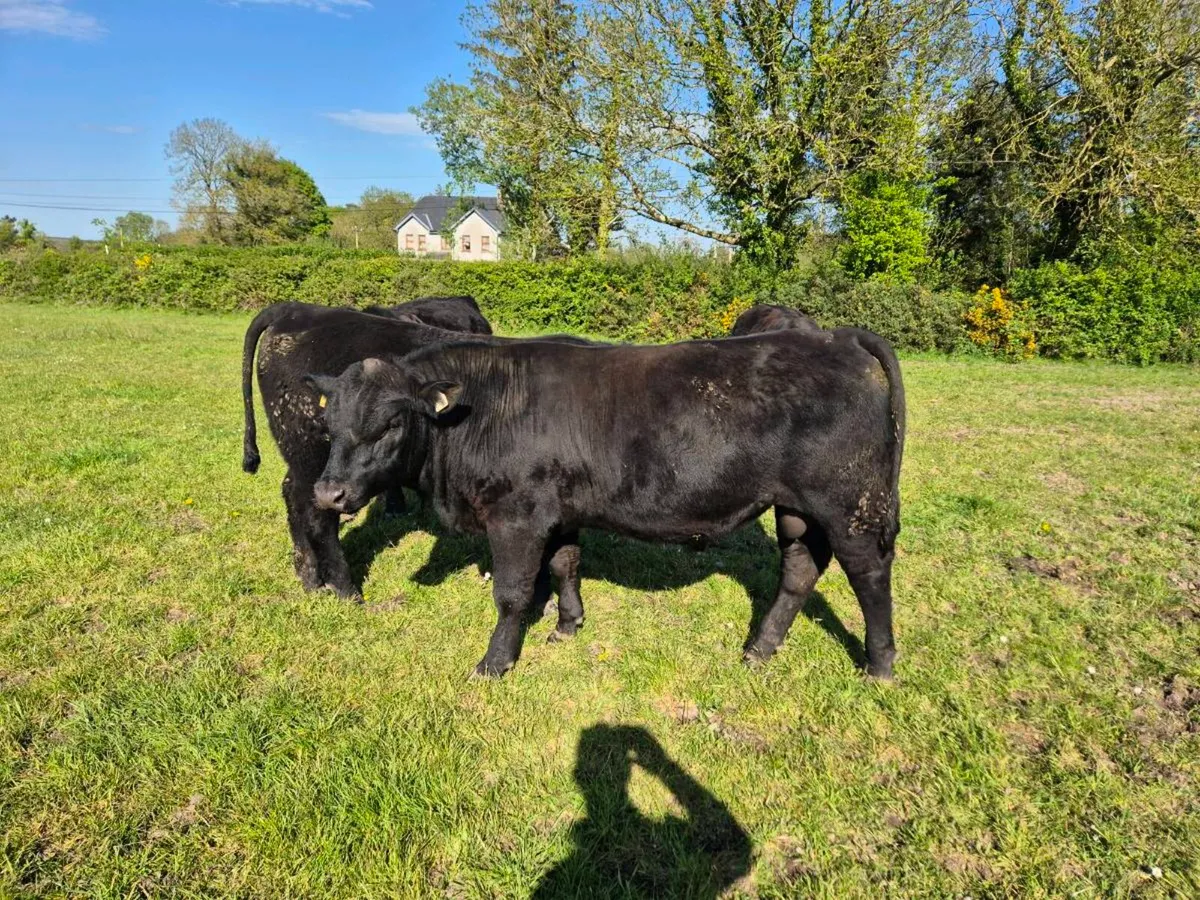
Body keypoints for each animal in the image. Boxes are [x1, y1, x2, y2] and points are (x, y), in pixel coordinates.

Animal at [240, 301, 589, 635]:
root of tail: (296, 309)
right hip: (316, 459)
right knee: (319, 518)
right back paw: (347, 592)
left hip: (305, 460)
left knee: (294, 497)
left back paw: (310, 579)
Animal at [307, 327, 905, 679]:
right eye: (329, 421)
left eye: (390, 424)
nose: (327, 492)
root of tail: (836, 335)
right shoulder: (558, 512)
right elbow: (565, 565)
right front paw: (568, 625)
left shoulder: (516, 516)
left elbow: (512, 594)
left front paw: (495, 662)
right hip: (798, 508)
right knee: (800, 571)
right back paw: (759, 649)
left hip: (850, 505)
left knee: (870, 576)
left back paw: (879, 664)